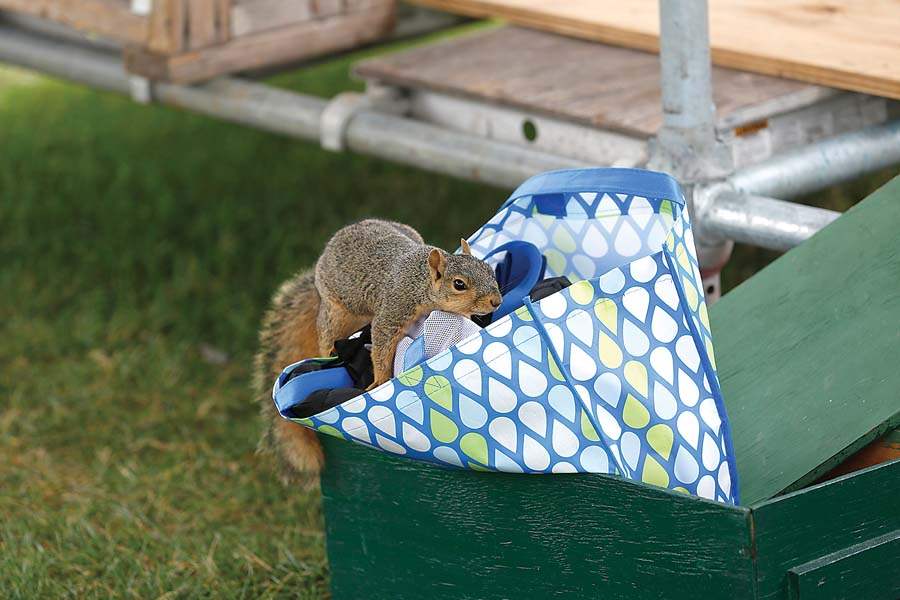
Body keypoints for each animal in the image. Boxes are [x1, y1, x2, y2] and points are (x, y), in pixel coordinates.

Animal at [254, 219, 501, 483]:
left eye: (490, 271)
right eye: (459, 284)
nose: (496, 301)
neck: (420, 280)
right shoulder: (393, 310)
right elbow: (382, 347)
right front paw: (381, 380)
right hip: (337, 313)